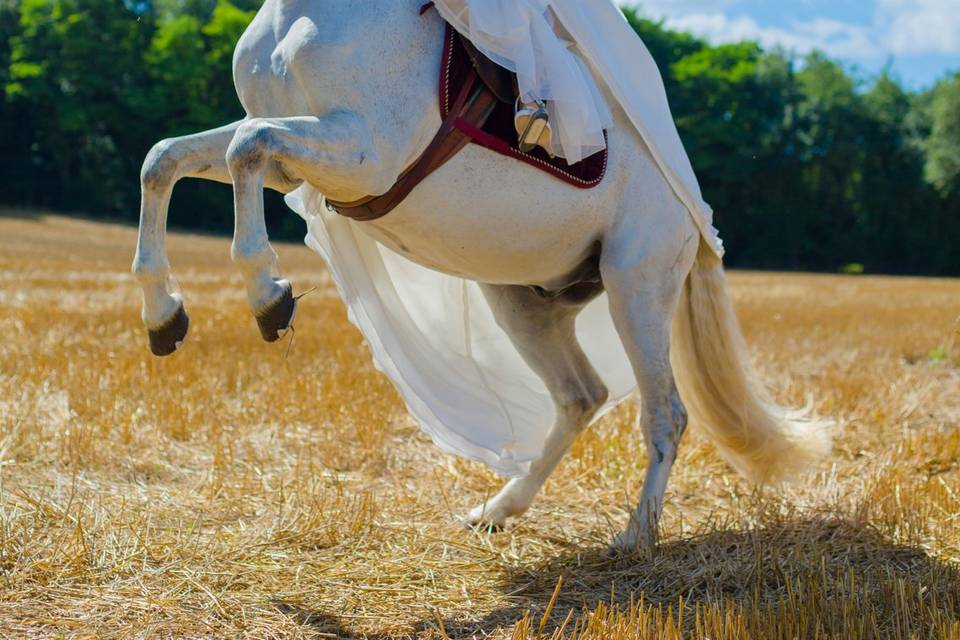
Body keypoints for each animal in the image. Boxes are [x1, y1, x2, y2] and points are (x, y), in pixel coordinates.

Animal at [131, 0, 828, 552]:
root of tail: (695, 218)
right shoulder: (290, 164)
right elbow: (165, 158)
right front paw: (164, 316)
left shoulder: (361, 152)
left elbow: (243, 146)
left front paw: (269, 296)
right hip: (523, 302)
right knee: (581, 397)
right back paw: (497, 509)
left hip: (637, 286)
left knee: (665, 415)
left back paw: (635, 536)